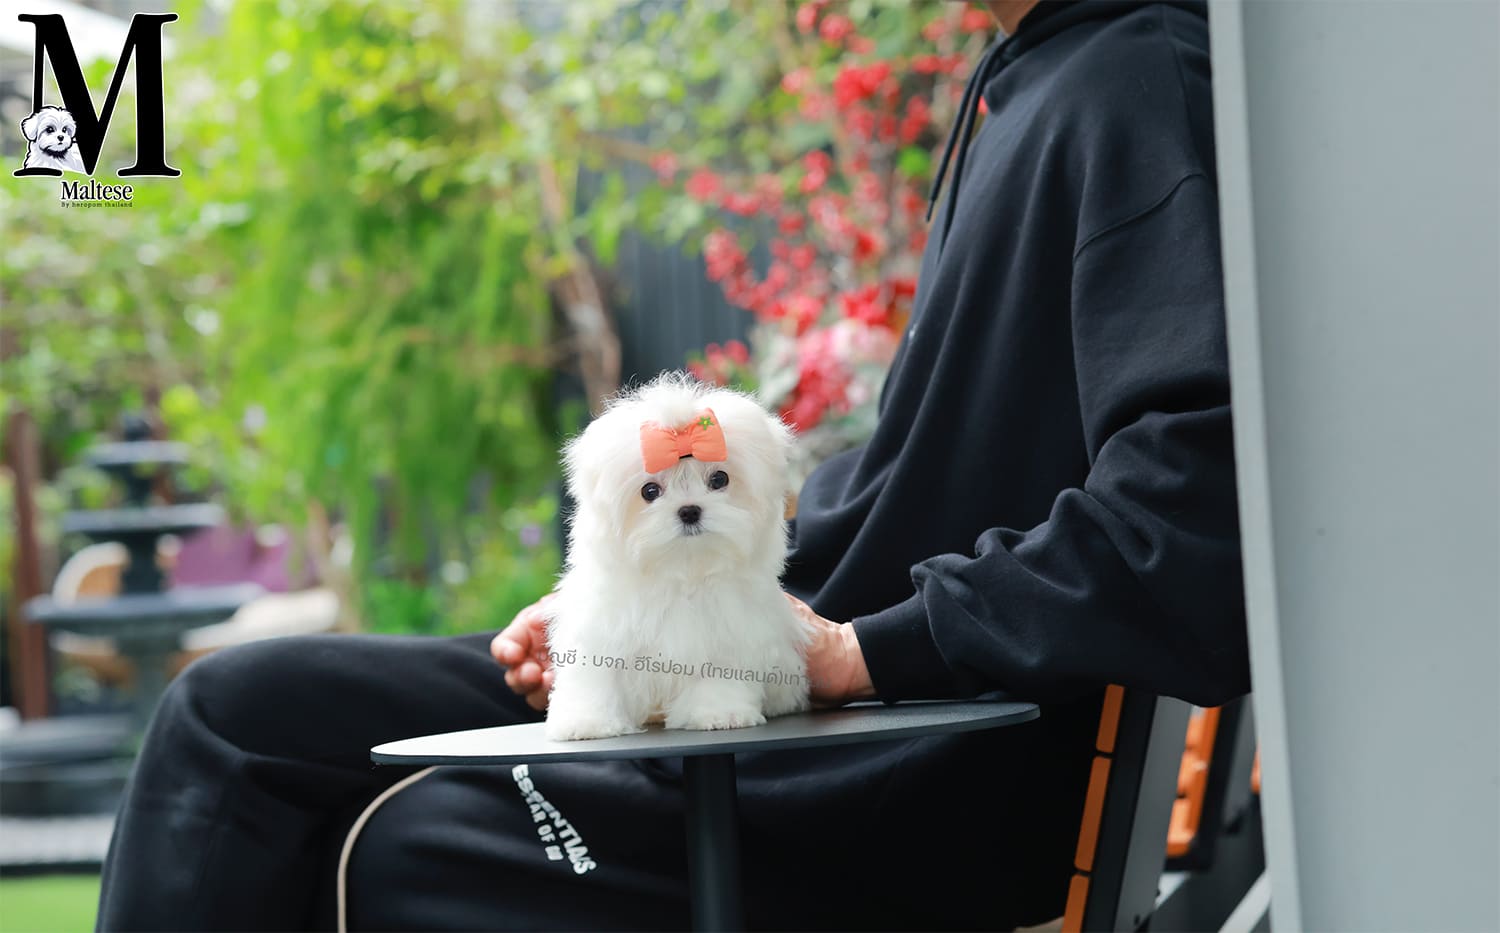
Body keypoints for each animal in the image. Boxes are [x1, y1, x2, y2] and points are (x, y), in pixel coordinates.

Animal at [544, 374, 812, 740]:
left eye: (719, 479)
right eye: (650, 491)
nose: (689, 510)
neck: (680, 574)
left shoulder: (730, 632)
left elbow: (719, 674)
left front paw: (720, 714)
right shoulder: (600, 630)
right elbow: (597, 677)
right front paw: (589, 722)